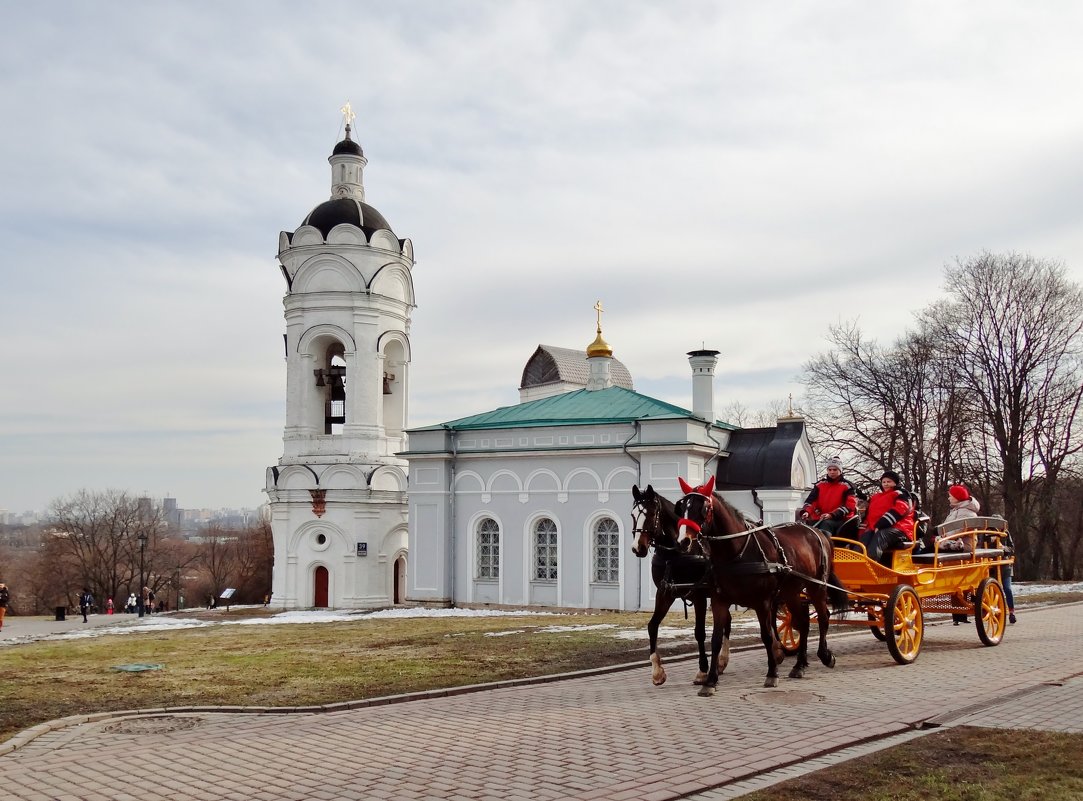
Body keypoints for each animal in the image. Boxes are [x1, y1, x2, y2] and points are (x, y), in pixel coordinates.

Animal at [632, 484, 714, 684]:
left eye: (651, 514)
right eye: (632, 514)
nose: (637, 548)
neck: (675, 554)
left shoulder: (699, 596)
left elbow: (699, 632)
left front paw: (702, 670)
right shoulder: (664, 594)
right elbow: (652, 626)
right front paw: (657, 671)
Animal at [675, 476, 844, 688]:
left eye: (704, 508)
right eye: (682, 507)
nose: (683, 541)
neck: (737, 552)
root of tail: (818, 531)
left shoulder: (762, 602)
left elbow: (766, 636)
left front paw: (772, 673)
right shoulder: (719, 601)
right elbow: (715, 639)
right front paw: (711, 680)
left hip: (817, 587)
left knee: (823, 617)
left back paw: (825, 655)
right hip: (791, 592)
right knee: (803, 622)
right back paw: (799, 665)